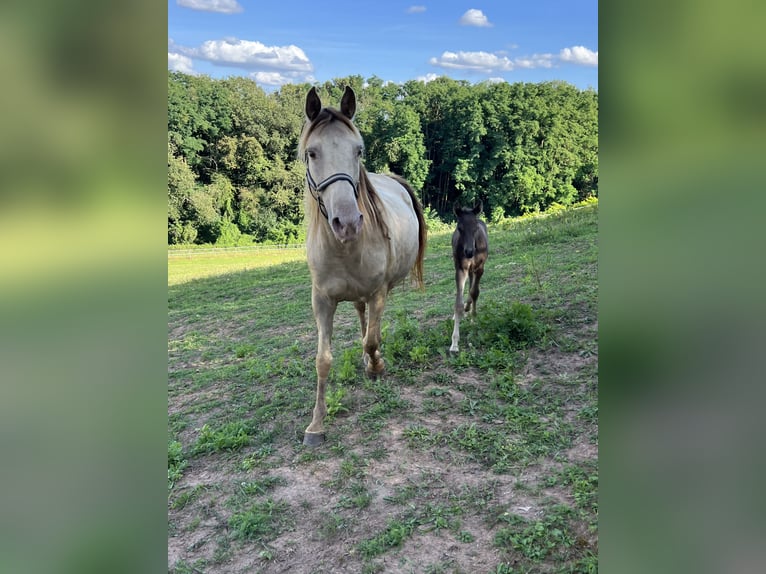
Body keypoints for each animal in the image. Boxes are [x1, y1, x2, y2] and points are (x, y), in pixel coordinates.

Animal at [300, 85, 428, 448]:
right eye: (311, 153)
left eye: (358, 150)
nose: (347, 223)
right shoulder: (322, 301)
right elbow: (323, 360)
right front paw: (316, 424)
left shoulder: (378, 292)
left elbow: (372, 340)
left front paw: (376, 366)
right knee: (360, 316)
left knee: (371, 327)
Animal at [450, 202, 492, 356]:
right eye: (459, 228)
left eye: (475, 228)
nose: (469, 252)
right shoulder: (461, 269)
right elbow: (458, 304)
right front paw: (454, 343)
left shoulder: (480, 268)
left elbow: (475, 292)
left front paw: (474, 318)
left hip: (475, 269)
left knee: (472, 289)